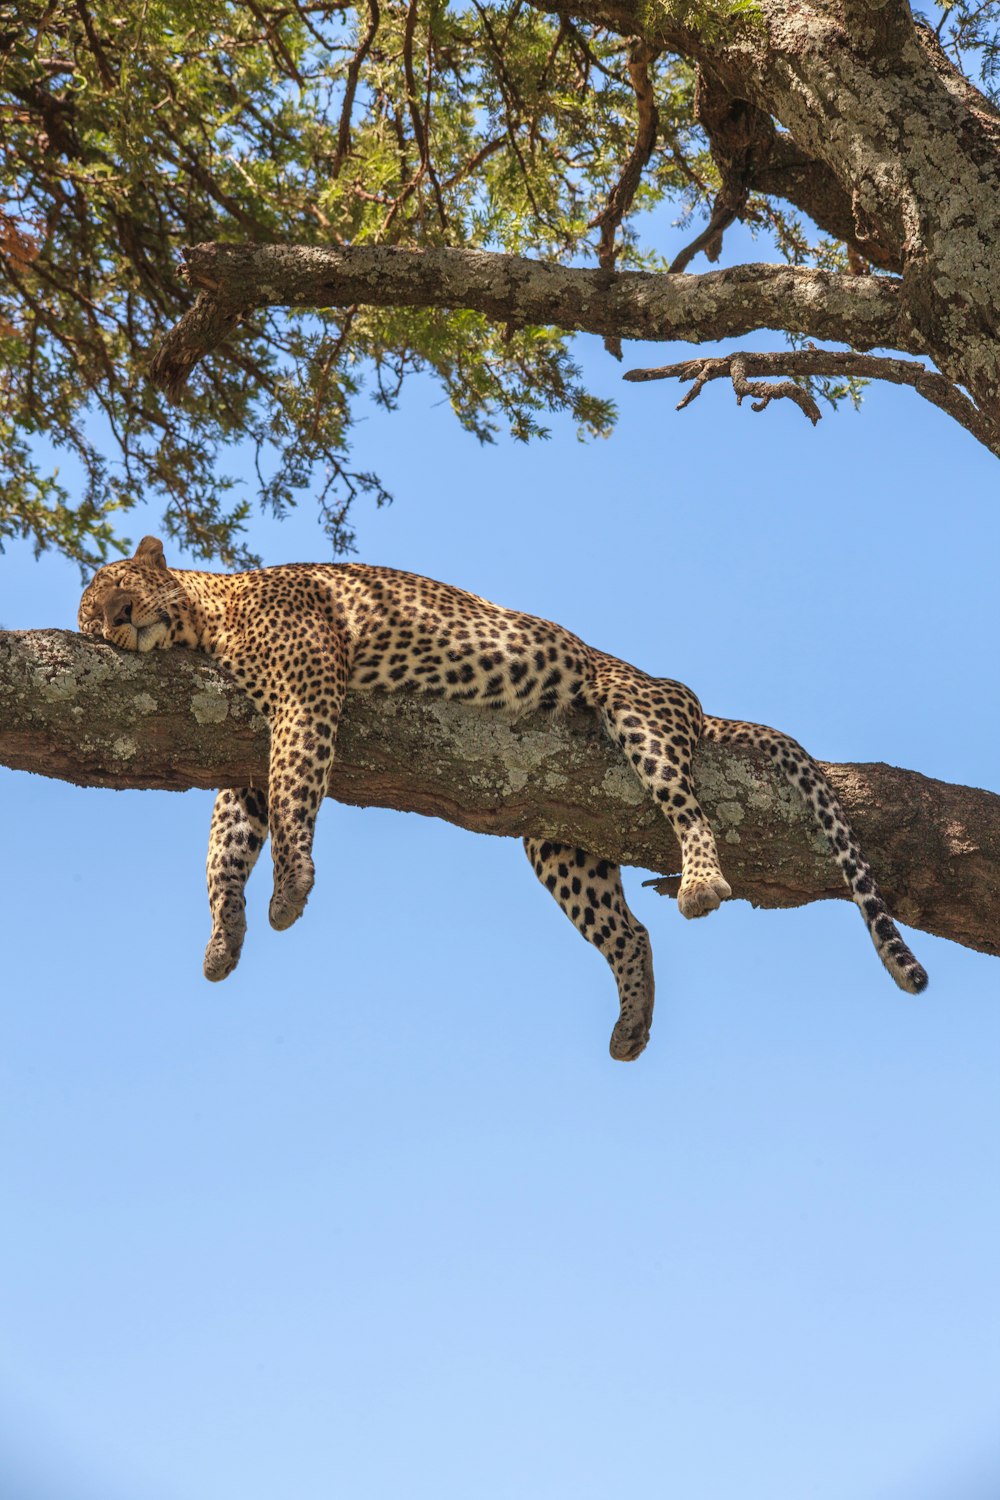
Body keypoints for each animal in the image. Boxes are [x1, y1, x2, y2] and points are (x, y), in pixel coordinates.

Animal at [80, 537, 929, 1056]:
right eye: (90, 619)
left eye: (119, 589)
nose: (117, 622)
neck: (207, 614)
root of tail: (687, 697)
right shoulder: (241, 749)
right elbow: (228, 840)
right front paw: (223, 937)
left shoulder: (305, 689)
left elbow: (295, 788)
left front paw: (290, 889)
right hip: (560, 837)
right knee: (631, 932)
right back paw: (632, 1024)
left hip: (640, 717)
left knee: (688, 809)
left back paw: (701, 882)